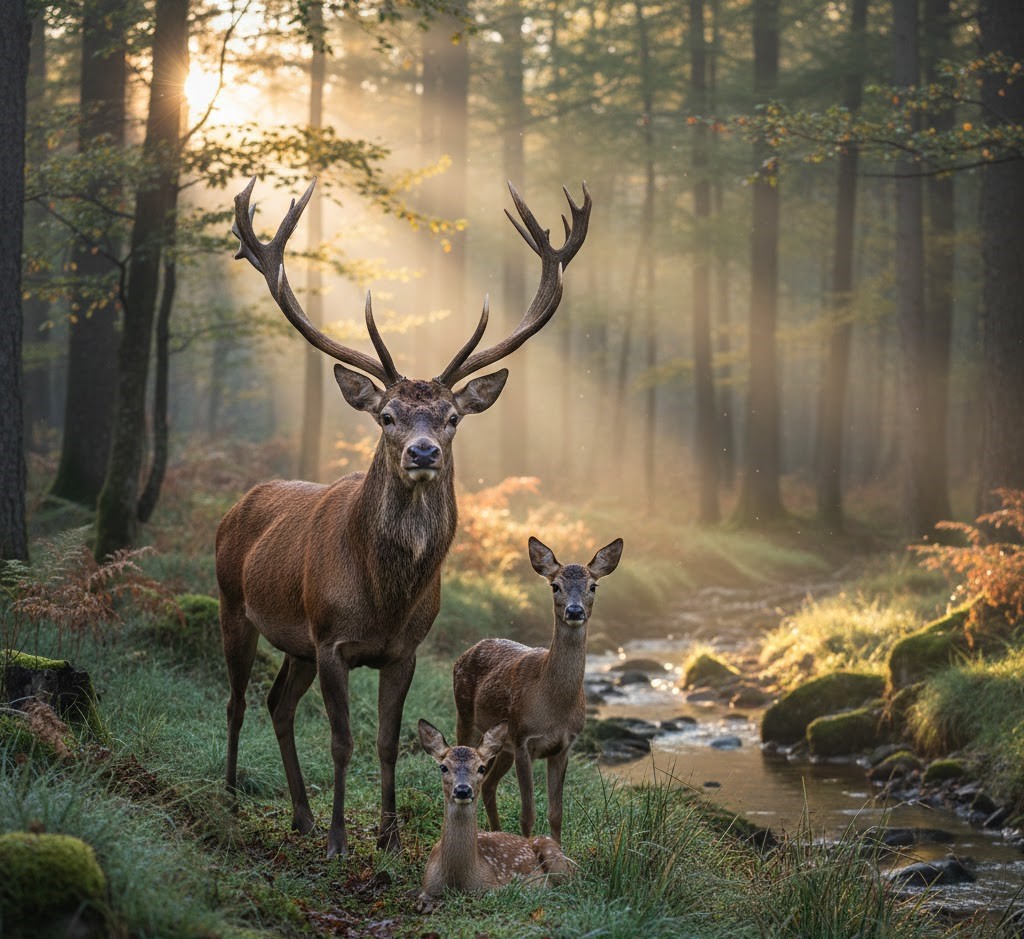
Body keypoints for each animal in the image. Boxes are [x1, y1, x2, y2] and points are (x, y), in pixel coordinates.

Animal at [215, 176, 591, 859]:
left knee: (277, 704)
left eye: (452, 417)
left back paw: (300, 814)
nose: (422, 452)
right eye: (387, 415)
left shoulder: (404, 648)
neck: (382, 596)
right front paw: (340, 840)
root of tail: (237, 506)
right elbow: (342, 741)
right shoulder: (331, 639)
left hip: (295, 643)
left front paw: (386, 834)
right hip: (235, 603)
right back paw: (233, 793)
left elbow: (389, 741)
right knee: (235, 701)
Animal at [415, 719, 570, 912]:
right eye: (443, 767)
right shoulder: (426, 884)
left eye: (481, 768)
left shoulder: (495, 888)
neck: (458, 878)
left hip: (554, 853)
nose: (463, 790)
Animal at [453, 536, 623, 844]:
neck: (554, 706)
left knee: (488, 785)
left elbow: (556, 814)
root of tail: (466, 651)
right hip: (466, 716)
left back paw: (495, 834)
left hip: (501, 744)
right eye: (555, 585)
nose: (575, 611)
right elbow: (528, 814)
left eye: (593, 586)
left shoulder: (563, 746)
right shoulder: (523, 738)